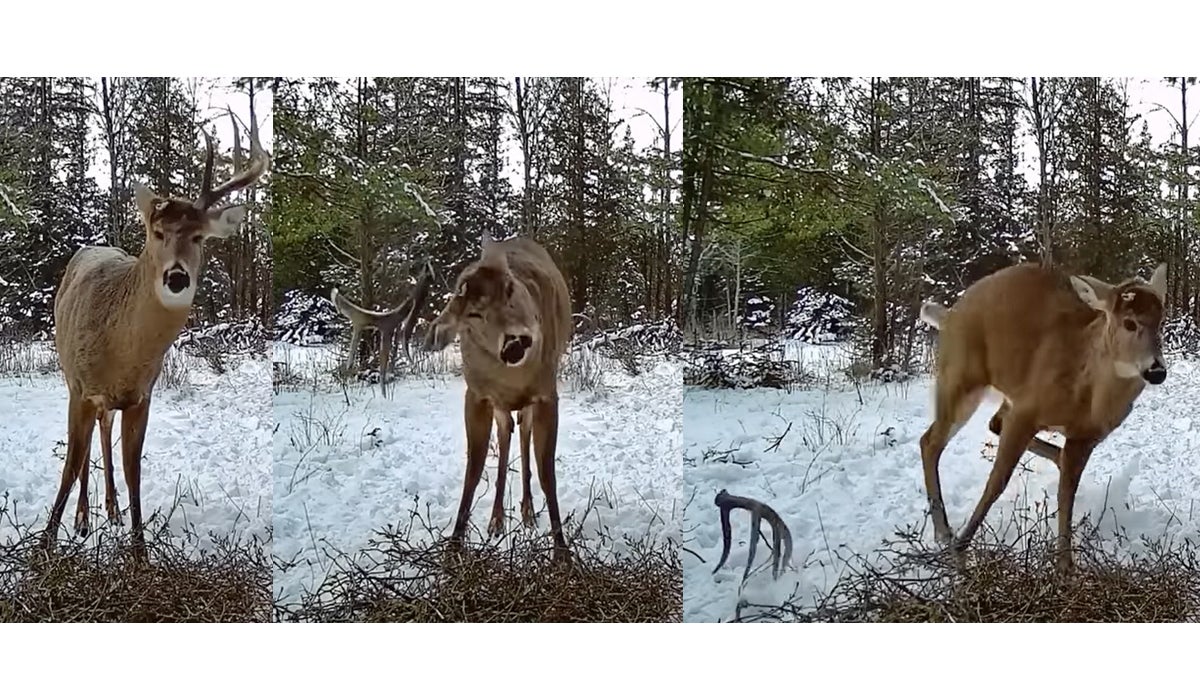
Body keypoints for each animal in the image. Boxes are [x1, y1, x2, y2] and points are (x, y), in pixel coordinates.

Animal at [48, 113, 268, 552]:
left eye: (199, 237)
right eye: (157, 232)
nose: (177, 277)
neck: (123, 353)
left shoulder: (142, 396)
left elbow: (133, 470)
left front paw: (139, 550)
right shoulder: (80, 386)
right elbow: (70, 465)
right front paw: (44, 544)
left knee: (104, 430)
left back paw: (110, 510)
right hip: (70, 375)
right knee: (87, 446)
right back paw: (83, 519)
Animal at [422, 234, 571, 559]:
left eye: (510, 288)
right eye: (473, 315)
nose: (515, 342)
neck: (513, 378)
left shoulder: (547, 395)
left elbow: (547, 473)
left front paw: (562, 552)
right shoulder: (476, 395)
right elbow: (473, 470)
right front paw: (454, 545)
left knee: (523, 432)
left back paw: (527, 512)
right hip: (499, 404)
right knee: (506, 433)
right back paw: (497, 518)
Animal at [916, 260, 1161, 571]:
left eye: (1161, 320)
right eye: (1129, 322)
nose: (1157, 370)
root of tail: (948, 315)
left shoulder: (1085, 438)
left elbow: (1066, 495)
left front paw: (1066, 567)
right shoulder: (1026, 410)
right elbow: (997, 482)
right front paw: (961, 549)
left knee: (992, 423)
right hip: (960, 378)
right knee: (930, 441)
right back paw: (943, 532)